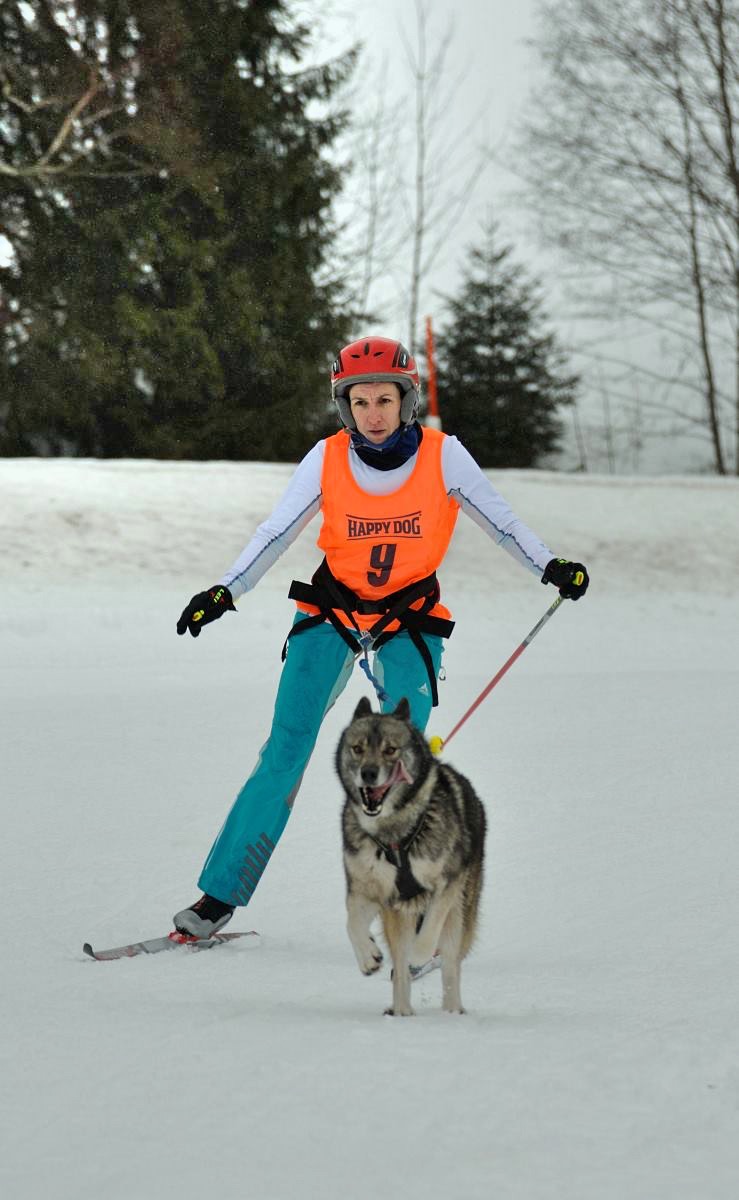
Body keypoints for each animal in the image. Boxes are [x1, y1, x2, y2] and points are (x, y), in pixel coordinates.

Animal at [335, 700, 484, 1017]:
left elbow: (431, 926)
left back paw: (451, 1012)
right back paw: (402, 1011)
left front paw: (419, 952)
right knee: (400, 968)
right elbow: (352, 922)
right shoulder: (371, 890)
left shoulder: (448, 881)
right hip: (398, 916)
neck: (394, 835)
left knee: (450, 965)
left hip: (459, 912)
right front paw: (368, 956)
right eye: (357, 748)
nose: (368, 773)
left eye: (391, 750)